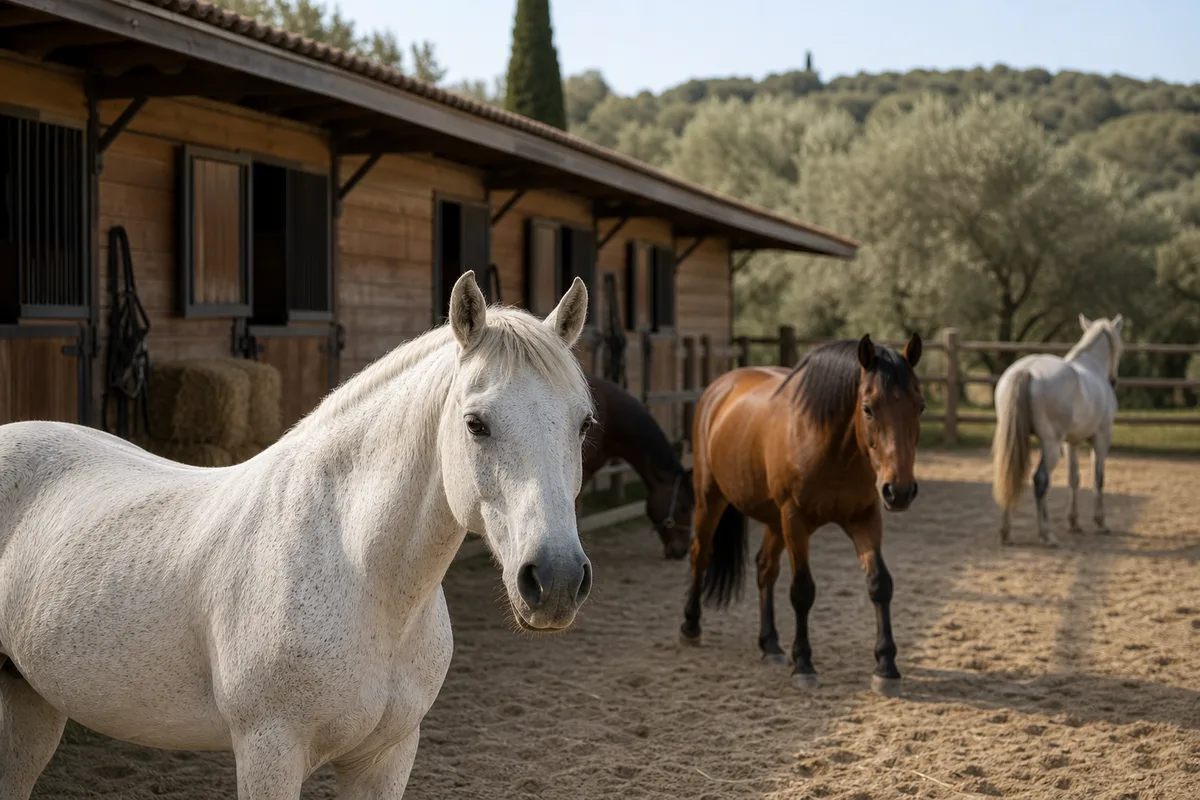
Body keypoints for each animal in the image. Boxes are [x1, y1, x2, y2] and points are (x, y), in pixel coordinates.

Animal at [0, 271, 595, 800]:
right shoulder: (270, 750)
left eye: (584, 424)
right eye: (475, 424)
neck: (359, 572)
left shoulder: (387, 758)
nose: (557, 580)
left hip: (29, 701)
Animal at [679, 334, 925, 697]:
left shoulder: (865, 518)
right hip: (711, 499)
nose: (901, 490)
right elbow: (802, 591)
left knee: (765, 568)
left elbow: (880, 583)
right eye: (868, 408)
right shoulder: (795, 520)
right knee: (701, 554)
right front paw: (805, 664)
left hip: (773, 519)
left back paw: (770, 645)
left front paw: (886, 666)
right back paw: (691, 626)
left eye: (919, 407)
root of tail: (720, 387)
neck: (833, 449)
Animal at [992, 314, 1124, 548]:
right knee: (1040, 480)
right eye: (1120, 347)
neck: (1092, 366)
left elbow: (1074, 478)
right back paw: (1047, 534)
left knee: (1007, 475)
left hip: (1014, 443)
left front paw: (1074, 523)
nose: (1114, 380)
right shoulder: (1101, 437)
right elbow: (1098, 478)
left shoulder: (1071, 442)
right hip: (1051, 445)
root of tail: (1027, 369)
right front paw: (1101, 523)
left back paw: (1006, 533)